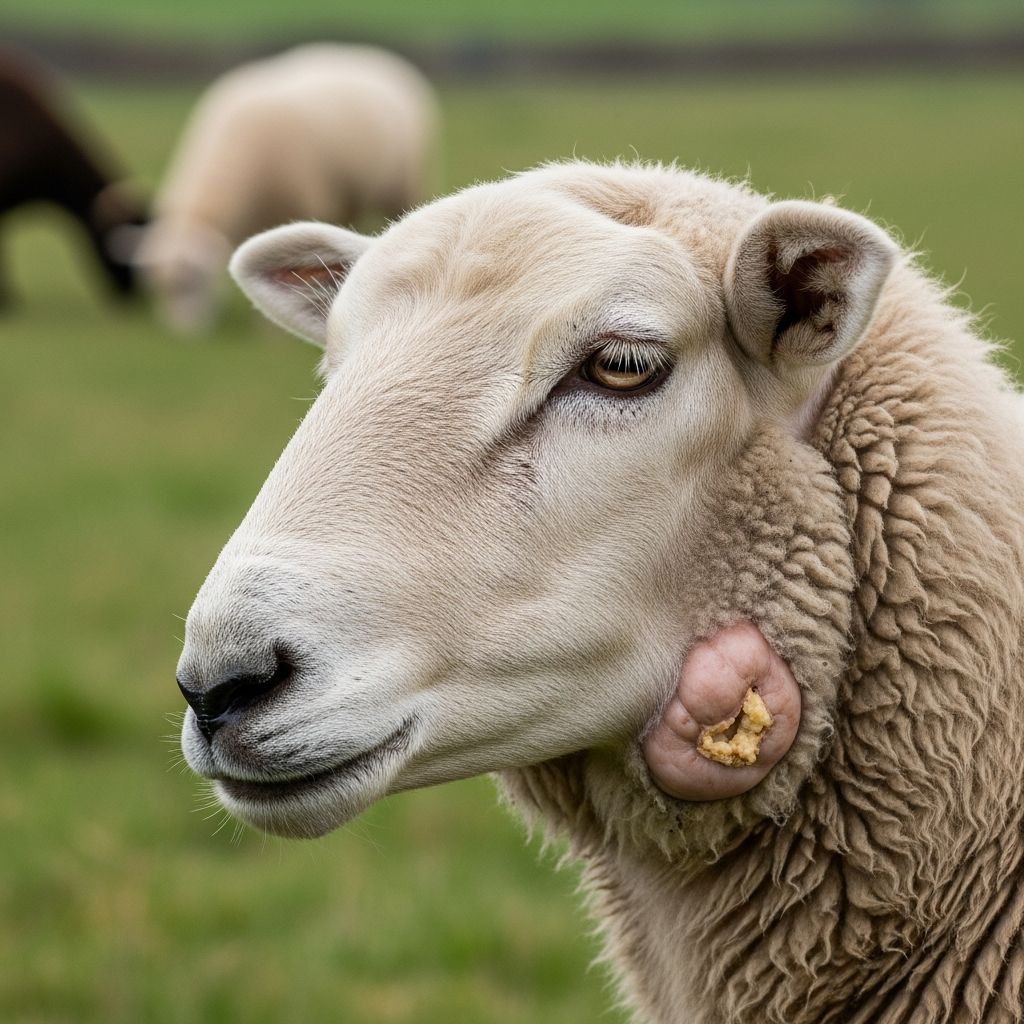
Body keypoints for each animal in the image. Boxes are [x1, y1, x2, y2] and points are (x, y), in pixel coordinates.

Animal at [138, 43, 438, 333]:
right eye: (158, 287)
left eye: (195, 280)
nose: (182, 333)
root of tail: (372, 53)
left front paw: (269, 332)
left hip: (403, 182)